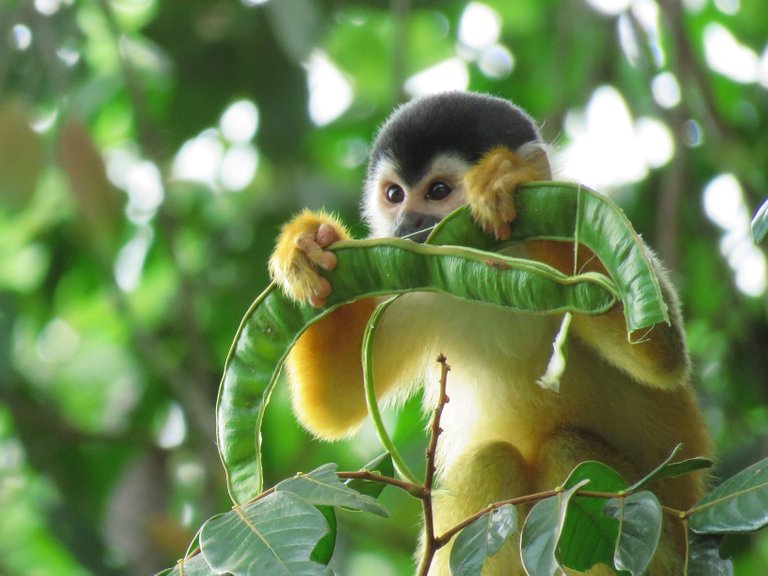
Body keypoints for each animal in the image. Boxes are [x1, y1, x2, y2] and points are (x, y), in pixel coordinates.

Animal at [268, 92, 712, 572]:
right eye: (394, 194)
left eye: (437, 191)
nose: (407, 225)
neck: (496, 262)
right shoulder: (417, 279)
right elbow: (332, 403)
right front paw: (307, 246)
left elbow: (658, 353)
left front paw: (510, 181)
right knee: (494, 459)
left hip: (660, 540)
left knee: (561, 451)